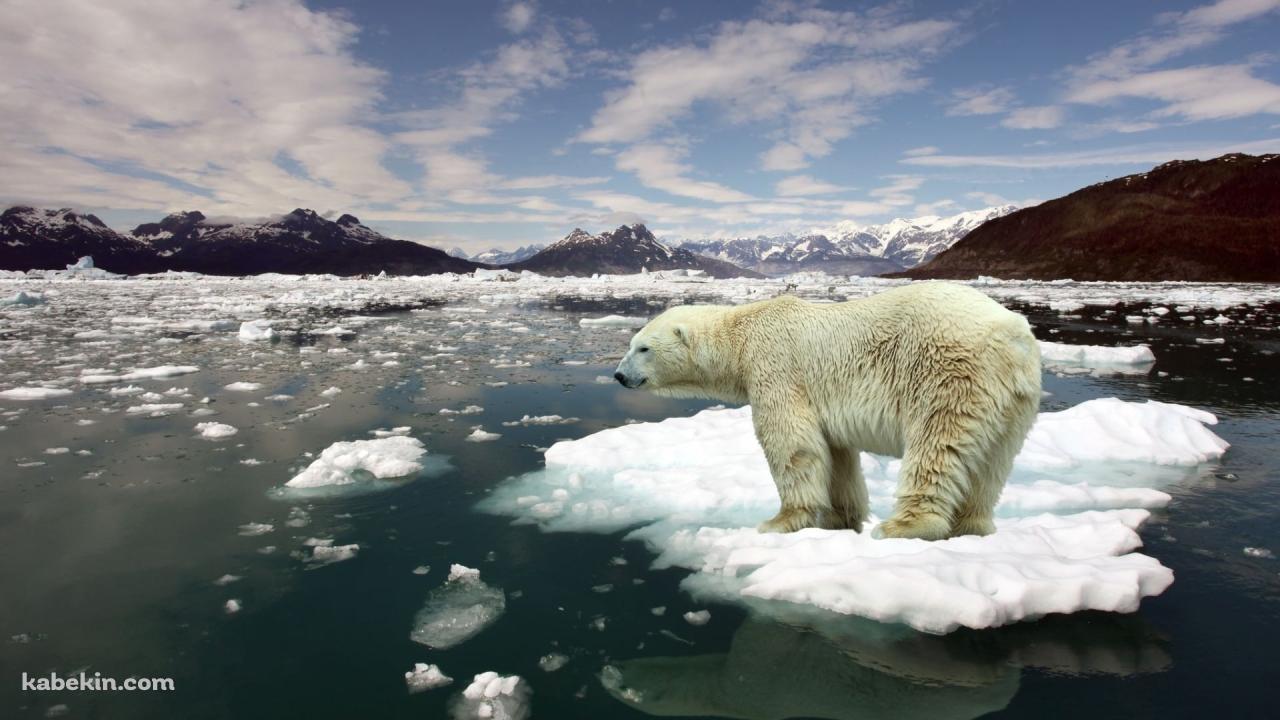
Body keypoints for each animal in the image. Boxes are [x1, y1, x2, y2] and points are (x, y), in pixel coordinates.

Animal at [613, 282, 1042, 540]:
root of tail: (1012, 335)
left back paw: (903, 526)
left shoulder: (776, 367)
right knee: (992, 463)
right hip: (1014, 402)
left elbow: (791, 443)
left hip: (948, 372)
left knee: (937, 445)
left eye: (643, 348)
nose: (618, 375)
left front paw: (779, 521)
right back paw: (972, 526)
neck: (742, 334)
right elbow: (836, 456)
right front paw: (841, 519)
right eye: (631, 344)